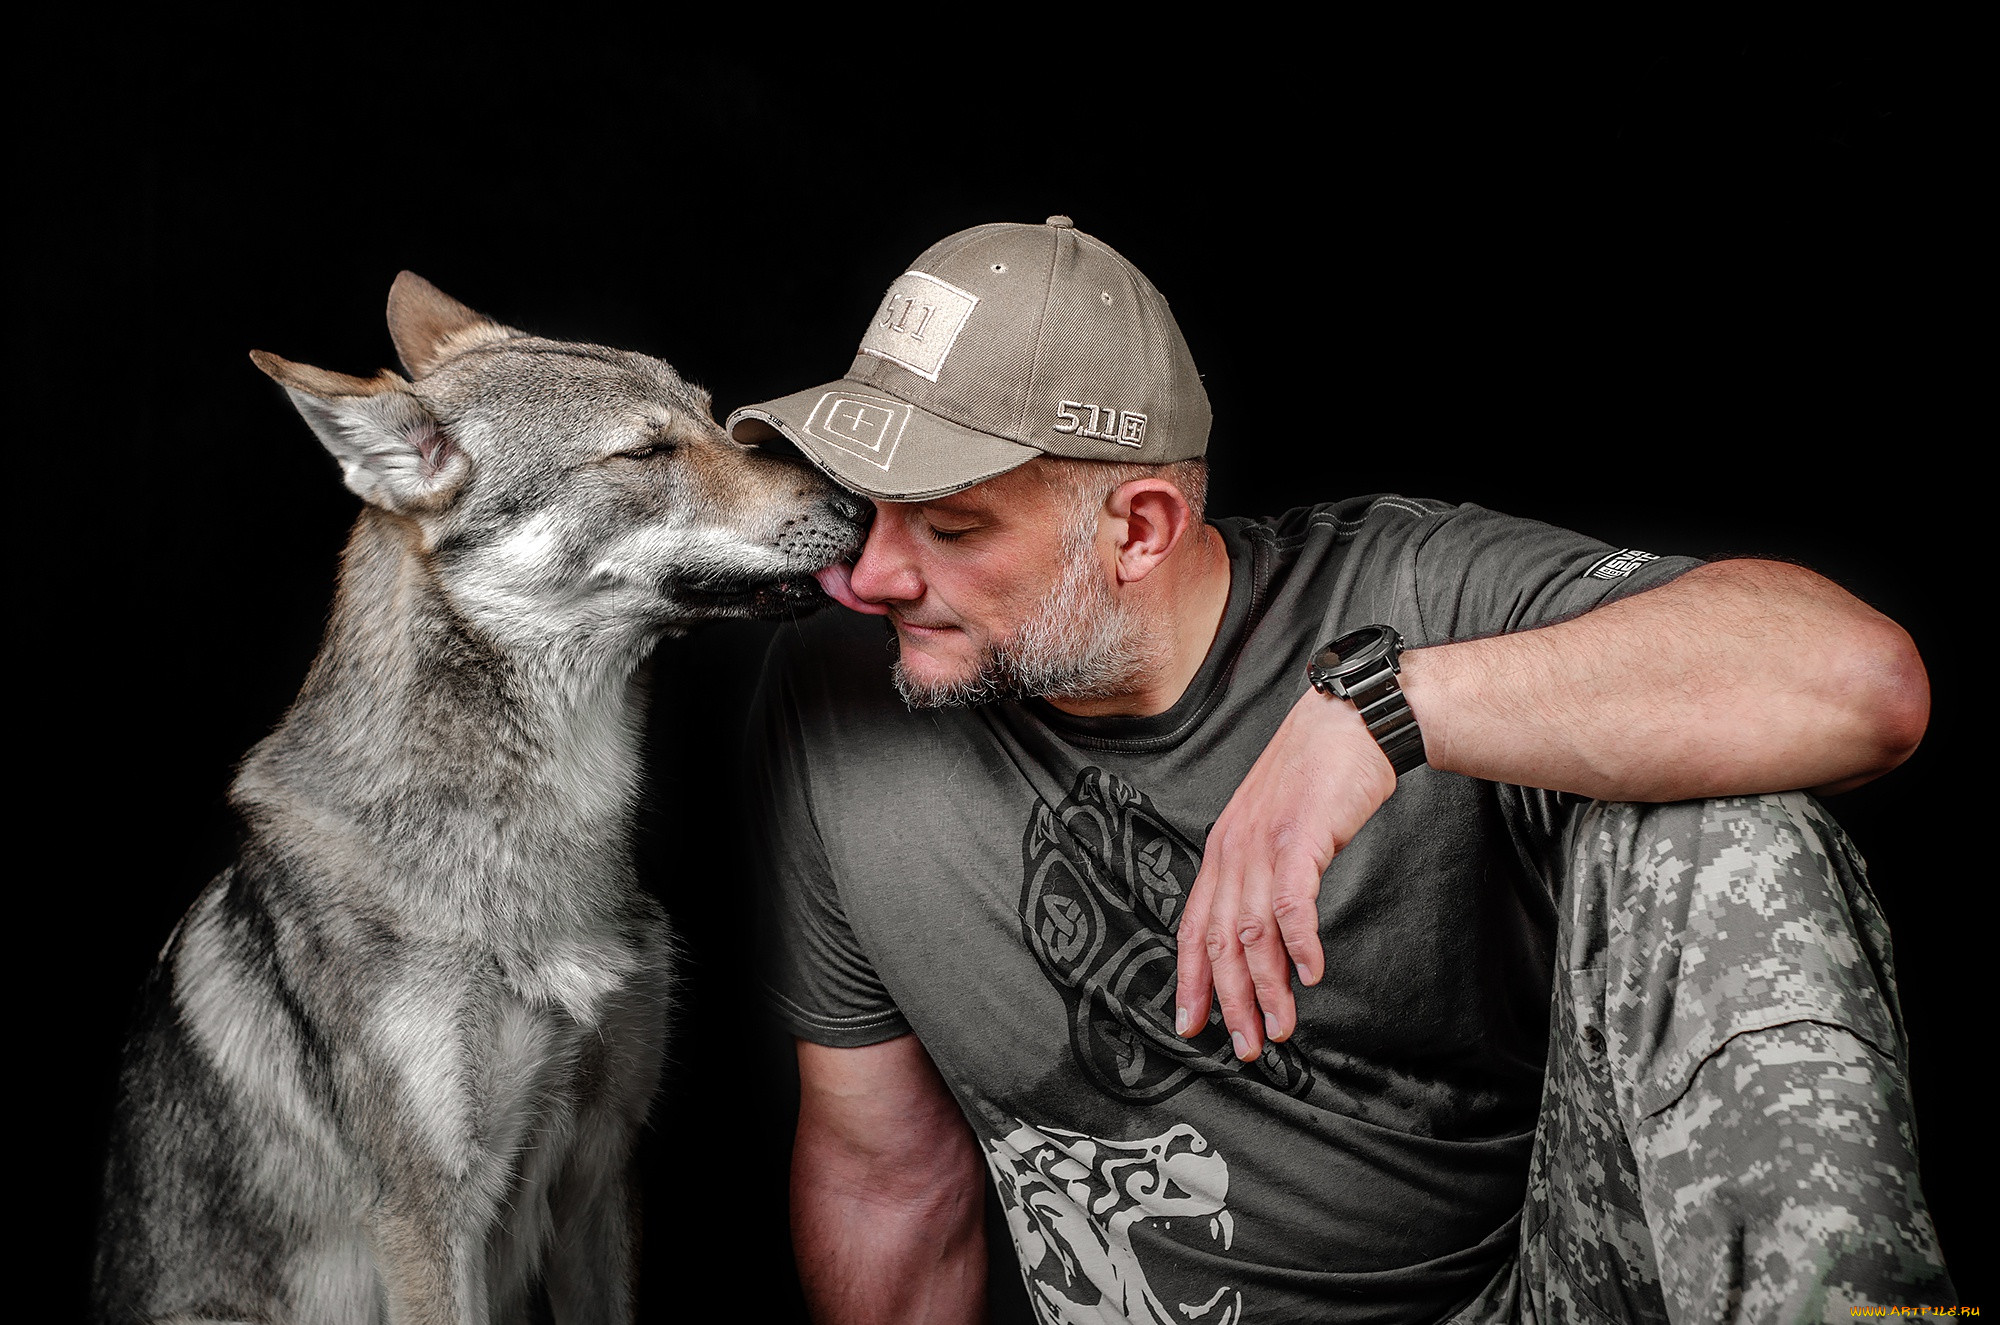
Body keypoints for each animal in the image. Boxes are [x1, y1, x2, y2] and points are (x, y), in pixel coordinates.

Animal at [95, 274, 868, 1320]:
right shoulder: (428, 1217)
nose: (861, 503)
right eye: (646, 451)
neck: (543, 847)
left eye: (717, 420)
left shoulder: (600, 1172)